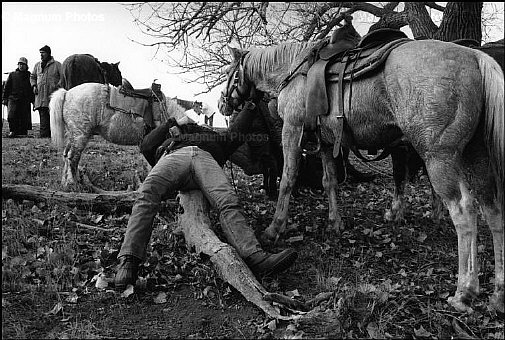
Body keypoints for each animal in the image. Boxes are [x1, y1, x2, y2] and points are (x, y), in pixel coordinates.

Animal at [49, 82, 186, 189]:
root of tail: (67, 93)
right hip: (80, 135)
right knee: (73, 158)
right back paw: (74, 183)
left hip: (73, 135)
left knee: (66, 155)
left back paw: (65, 183)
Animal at [220, 27, 504, 314]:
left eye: (229, 73)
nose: (223, 104)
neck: (294, 69)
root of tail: (475, 57)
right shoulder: (325, 143)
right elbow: (330, 181)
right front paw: (334, 223)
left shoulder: (292, 130)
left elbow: (288, 179)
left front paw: (275, 228)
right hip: (476, 158)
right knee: (492, 210)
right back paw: (498, 295)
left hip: (439, 158)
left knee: (464, 213)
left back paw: (464, 292)